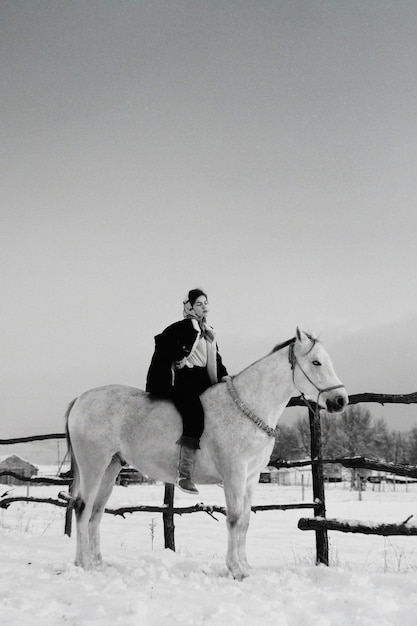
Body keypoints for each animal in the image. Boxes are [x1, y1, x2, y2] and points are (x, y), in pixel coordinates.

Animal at [65, 330, 346, 576]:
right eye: (316, 362)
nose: (340, 400)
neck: (248, 406)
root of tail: (80, 399)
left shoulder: (251, 477)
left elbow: (245, 521)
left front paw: (245, 566)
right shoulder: (234, 474)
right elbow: (234, 519)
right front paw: (235, 569)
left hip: (111, 467)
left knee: (96, 512)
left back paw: (98, 563)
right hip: (94, 465)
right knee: (83, 508)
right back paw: (83, 564)